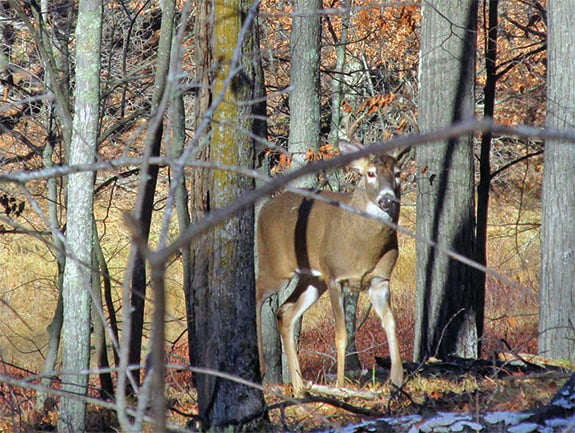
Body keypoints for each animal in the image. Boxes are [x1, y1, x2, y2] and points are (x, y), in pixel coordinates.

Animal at [256, 139, 404, 394]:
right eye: (370, 173)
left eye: (397, 173)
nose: (387, 200)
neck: (365, 249)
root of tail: (264, 210)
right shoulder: (336, 277)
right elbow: (341, 335)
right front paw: (341, 386)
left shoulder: (380, 280)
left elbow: (391, 324)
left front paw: (396, 382)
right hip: (275, 265)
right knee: (256, 294)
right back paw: (262, 369)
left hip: (313, 279)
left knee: (285, 311)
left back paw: (299, 387)